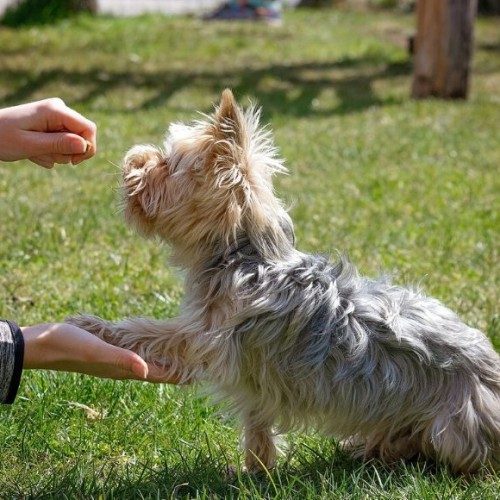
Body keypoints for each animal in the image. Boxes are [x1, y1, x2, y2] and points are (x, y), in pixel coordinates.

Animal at [68, 88, 498, 474]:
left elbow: (148, 331)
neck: (243, 256)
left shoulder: (205, 339)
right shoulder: (251, 376)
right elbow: (257, 424)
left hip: (454, 425)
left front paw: (92, 326)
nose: (134, 157)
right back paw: (369, 447)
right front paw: (257, 471)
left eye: (167, 163)